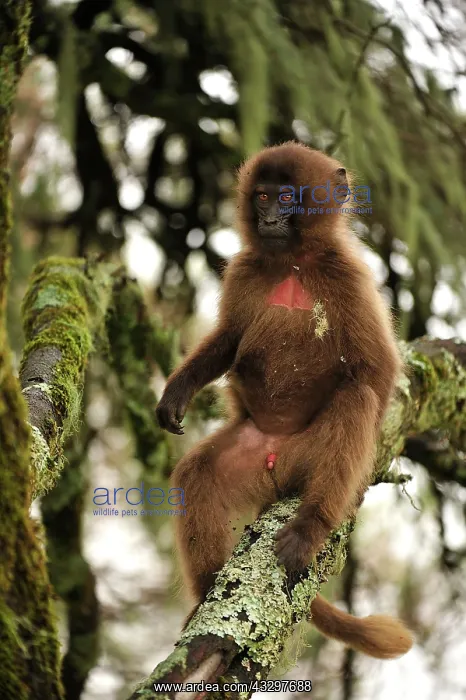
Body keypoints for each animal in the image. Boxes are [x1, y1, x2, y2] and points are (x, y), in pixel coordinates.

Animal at [156, 142, 413, 659]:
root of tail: (278, 458)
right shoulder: (245, 269)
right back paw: (206, 594)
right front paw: (178, 391)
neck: (293, 262)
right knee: (197, 474)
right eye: (261, 195)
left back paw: (312, 523)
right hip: (251, 453)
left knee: (356, 398)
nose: (270, 216)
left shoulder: (348, 276)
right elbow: (230, 339)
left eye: (288, 196)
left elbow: (377, 372)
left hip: (309, 453)